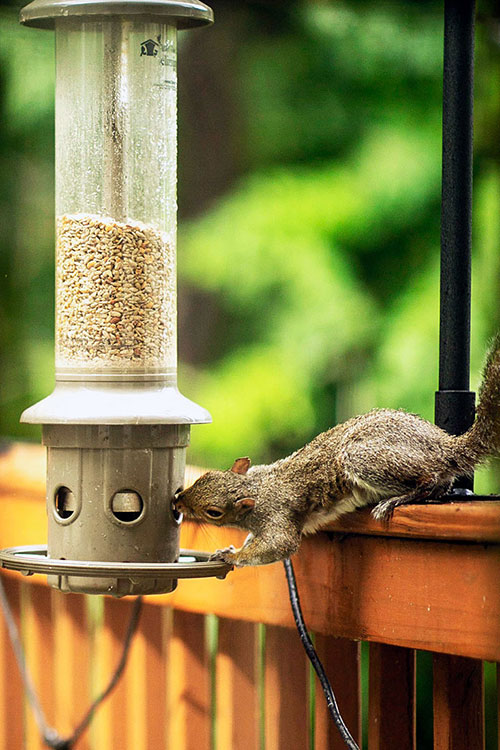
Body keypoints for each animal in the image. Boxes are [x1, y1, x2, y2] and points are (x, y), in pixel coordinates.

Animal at [175, 338, 500, 568]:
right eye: (205, 477)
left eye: (213, 512)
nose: (178, 501)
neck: (257, 486)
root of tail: (444, 445)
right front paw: (230, 547)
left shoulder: (277, 516)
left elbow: (279, 546)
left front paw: (232, 556)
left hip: (362, 457)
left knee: (431, 479)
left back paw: (398, 499)